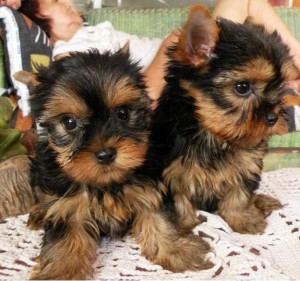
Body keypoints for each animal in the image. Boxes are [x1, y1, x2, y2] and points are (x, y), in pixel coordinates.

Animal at [14, 46, 211, 278]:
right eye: (69, 122)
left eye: (123, 113)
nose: (106, 154)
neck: (106, 184)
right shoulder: (66, 206)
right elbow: (65, 238)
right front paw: (61, 272)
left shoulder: (148, 188)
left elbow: (158, 218)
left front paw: (177, 249)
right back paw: (39, 212)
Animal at [143, 4, 290, 235]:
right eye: (242, 87)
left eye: (279, 85)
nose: (273, 117)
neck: (212, 133)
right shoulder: (170, 173)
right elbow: (179, 202)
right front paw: (185, 226)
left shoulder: (247, 163)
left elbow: (239, 194)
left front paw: (243, 219)